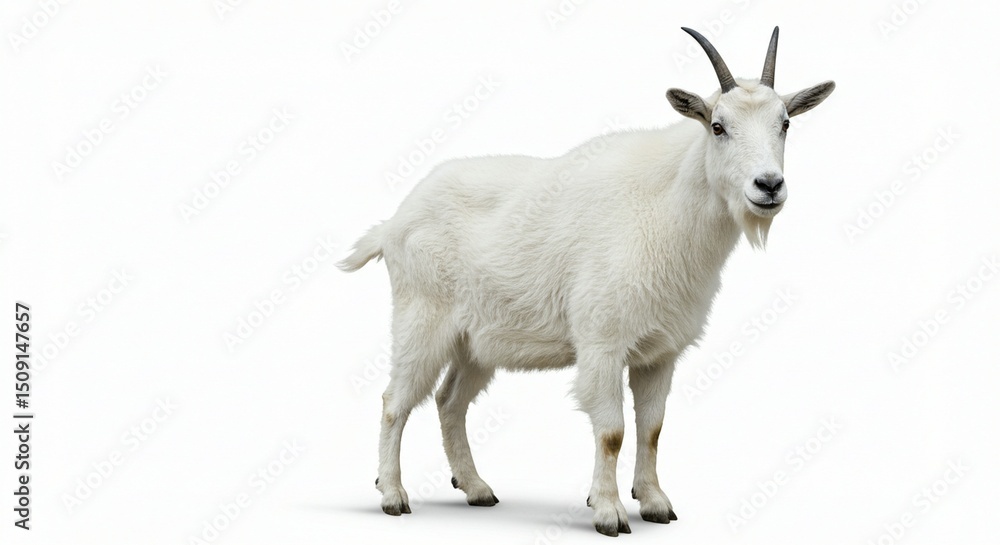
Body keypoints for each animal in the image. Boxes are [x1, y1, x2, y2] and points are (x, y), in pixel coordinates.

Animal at [339, 27, 835, 536]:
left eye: (785, 123)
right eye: (718, 126)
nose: (768, 186)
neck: (665, 210)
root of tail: (393, 224)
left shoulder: (660, 352)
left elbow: (652, 428)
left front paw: (655, 504)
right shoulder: (602, 342)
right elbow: (612, 431)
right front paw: (608, 512)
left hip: (474, 341)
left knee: (449, 401)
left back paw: (476, 489)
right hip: (422, 317)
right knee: (395, 400)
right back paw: (393, 495)